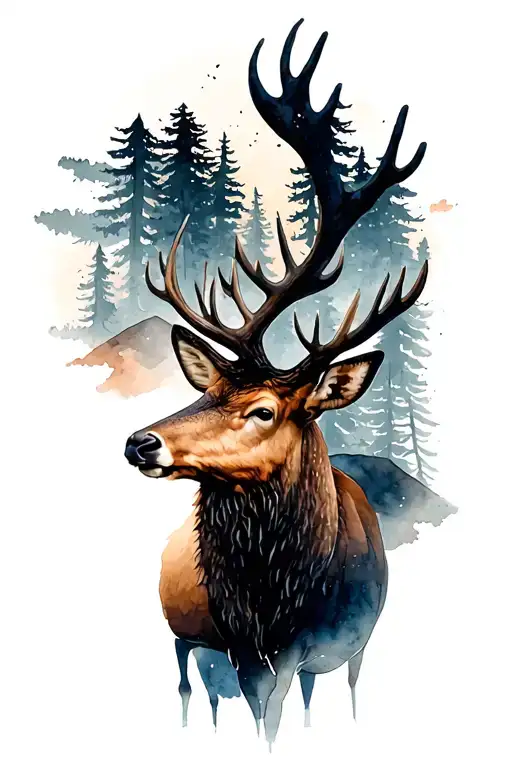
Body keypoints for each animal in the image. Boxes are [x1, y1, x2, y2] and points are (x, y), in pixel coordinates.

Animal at [124, 19, 427, 747]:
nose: (141, 442)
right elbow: (263, 718)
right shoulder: (246, 650)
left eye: (264, 409)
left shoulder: (343, 645)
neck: (284, 603)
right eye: (205, 390)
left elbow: (332, 704)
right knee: (188, 685)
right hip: (188, 639)